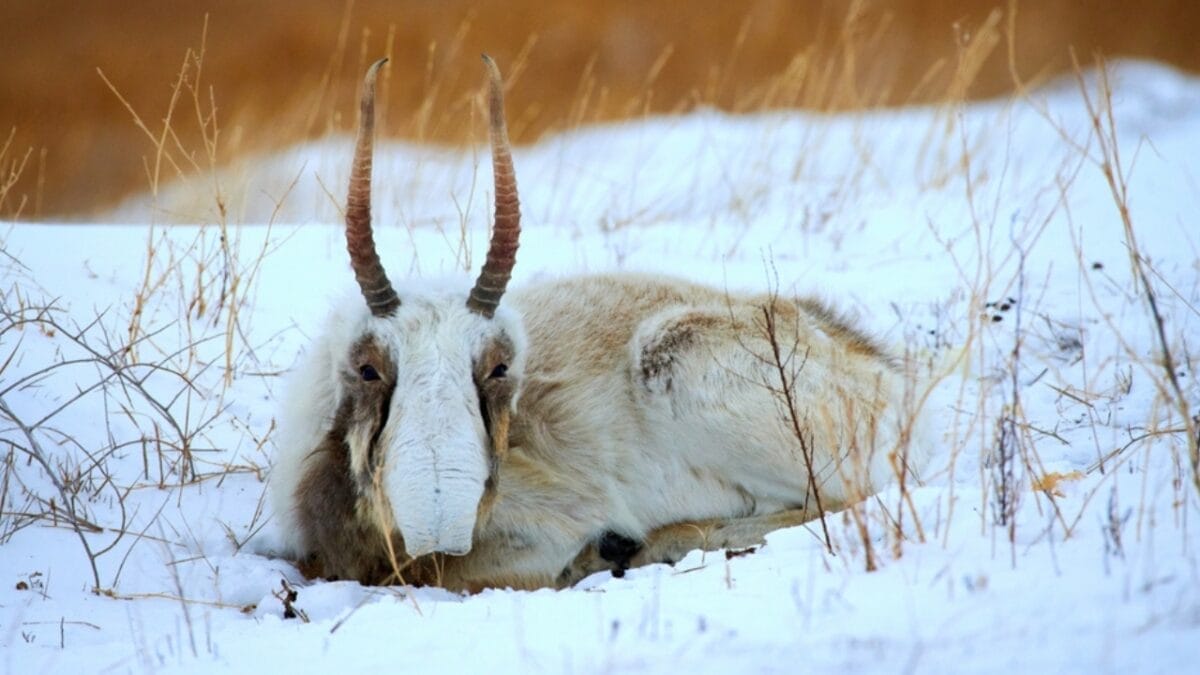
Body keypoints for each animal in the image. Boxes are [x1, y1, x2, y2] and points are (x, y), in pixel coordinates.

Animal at [268, 56, 926, 592]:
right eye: (368, 368)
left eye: (501, 366)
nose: (439, 519)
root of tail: (877, 374)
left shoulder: (542, 532)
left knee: (846, 500)